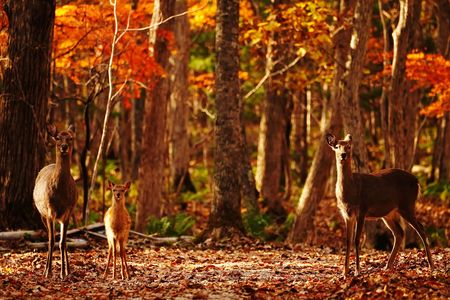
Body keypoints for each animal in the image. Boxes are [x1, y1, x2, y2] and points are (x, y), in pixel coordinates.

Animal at [33, 123, 78, 278]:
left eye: (70, 138)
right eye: (57, 137)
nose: (64, 147)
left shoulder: (68, 212)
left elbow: (62, 242)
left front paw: (64, 273)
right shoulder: (49, 211)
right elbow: (51, 241)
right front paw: (48, 272)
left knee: (61, 240)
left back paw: (68, 270)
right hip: (42, 214)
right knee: (49, 238)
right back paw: (46, 269)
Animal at [326, 133, 434, 276]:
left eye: (349, 146)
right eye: (337, 146)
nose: (343, 154)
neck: (350, 191)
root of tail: (417, 181)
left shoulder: (362, 209)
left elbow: (356, 239)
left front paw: (357, 271)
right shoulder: (347, 214)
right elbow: (348, 241)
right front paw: (344, 272)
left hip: (407, 205)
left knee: (420, 229)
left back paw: (431, 265)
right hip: (389, 213)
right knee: (399, 233)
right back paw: (387, 266)